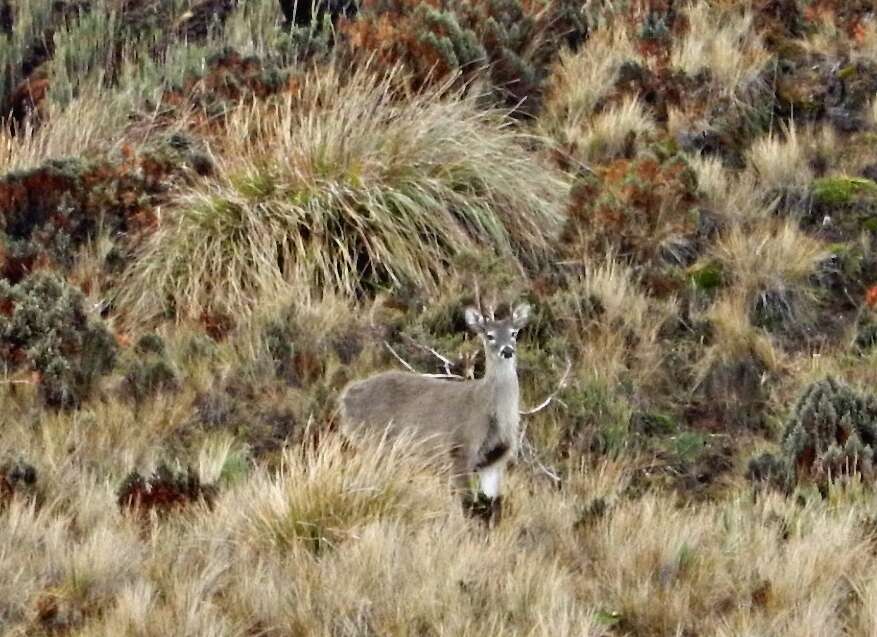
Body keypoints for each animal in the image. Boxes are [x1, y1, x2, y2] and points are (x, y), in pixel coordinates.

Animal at [338, 304, 532, 520]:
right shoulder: (460, 448)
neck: (493, 413)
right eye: (489, 335)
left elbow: (492, 507)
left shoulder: (495, 459)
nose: (507, 350)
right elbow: (469, 505)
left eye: (514, 333)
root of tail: (345, 397)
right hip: (372, 439)